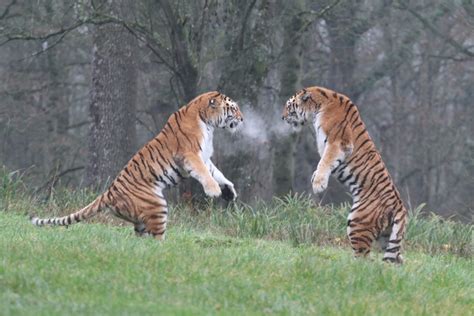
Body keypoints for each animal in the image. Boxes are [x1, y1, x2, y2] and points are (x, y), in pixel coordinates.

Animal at [31, 90, 244, 239]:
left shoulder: (205, 157)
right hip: (158, 206)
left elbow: (216, 173)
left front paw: (229, 191)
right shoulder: (190, 155)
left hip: (144, 216)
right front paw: (214, 191)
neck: (207, 123)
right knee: (156, 238)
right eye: (233, 109)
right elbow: (204, 173)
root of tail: (109, 192)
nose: (242, 119)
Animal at [282, 85, 408, 262]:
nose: (282, 117)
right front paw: (315, 177)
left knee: (363, 258)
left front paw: (318, 184)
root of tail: (399, 208)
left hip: (357, 223)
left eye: (289, 106)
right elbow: (322, 162)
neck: (319, 107)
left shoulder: (338, 143)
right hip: (389, 238)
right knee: (396, 260)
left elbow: (325, 160)